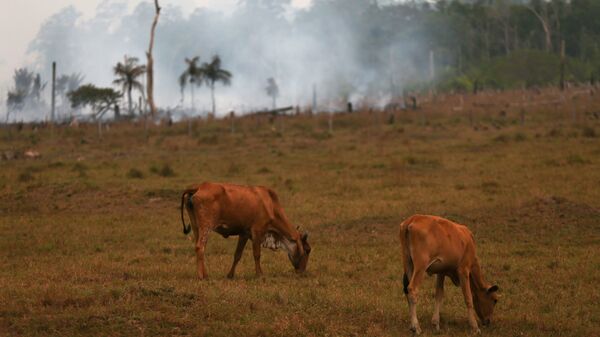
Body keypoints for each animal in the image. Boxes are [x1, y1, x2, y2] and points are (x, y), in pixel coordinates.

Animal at [179, 182, 312, 280]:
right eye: (307, 250)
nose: (302, 272)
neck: (271, 206)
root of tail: (199, 187)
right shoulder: (257, 231)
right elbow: (257, 254)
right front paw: (259, 275)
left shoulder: (244, 234)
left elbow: (237, 255)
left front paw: (230, 275)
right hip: (206, 227)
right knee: (200, 247)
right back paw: (202, 276)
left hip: (196, 227)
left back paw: (205, 274)